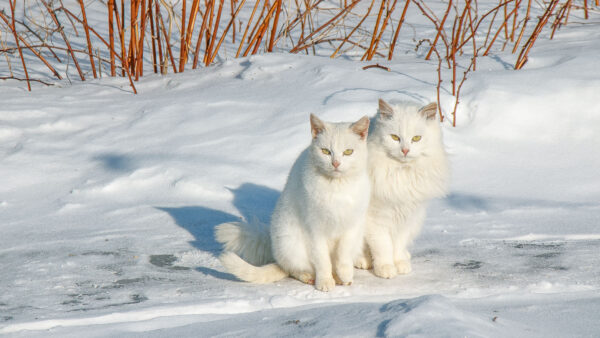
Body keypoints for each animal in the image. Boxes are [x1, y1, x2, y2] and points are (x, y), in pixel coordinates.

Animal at [213, 113, 368, 290]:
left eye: (348, 152)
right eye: (325, 151)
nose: (336, 163)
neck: (336, 188)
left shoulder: (351, 225)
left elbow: (343, 254)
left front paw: (345, 274)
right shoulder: (314, 229)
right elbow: (322, 260)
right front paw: (324, 281)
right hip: (289, 241)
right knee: (291, 269)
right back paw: (309, 276)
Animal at [356, 99, 450, 278]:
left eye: (416, 138)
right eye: (395, 137)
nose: (405, 150)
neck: (401, 173)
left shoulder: (407, 217)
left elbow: (398, 244)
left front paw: (400, 264)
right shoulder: (376, 218)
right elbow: (383, 246)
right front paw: (386, 268)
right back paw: (363, 261)